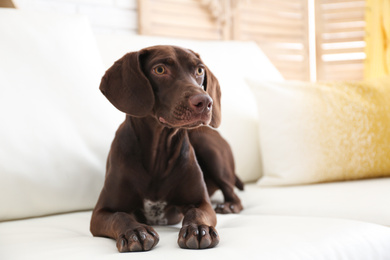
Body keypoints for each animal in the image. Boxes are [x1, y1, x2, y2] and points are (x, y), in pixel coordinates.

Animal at [91, 45, 244, 252]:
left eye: (199, 70)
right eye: (160, 69)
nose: (205, 102)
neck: (158, 155)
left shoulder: (202, 203)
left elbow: (196, 213)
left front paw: (198, 228)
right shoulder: (101, 212)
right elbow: (120, 216)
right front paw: (135, 231)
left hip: (210, 150)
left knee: (234, 195)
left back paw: (228, 206)